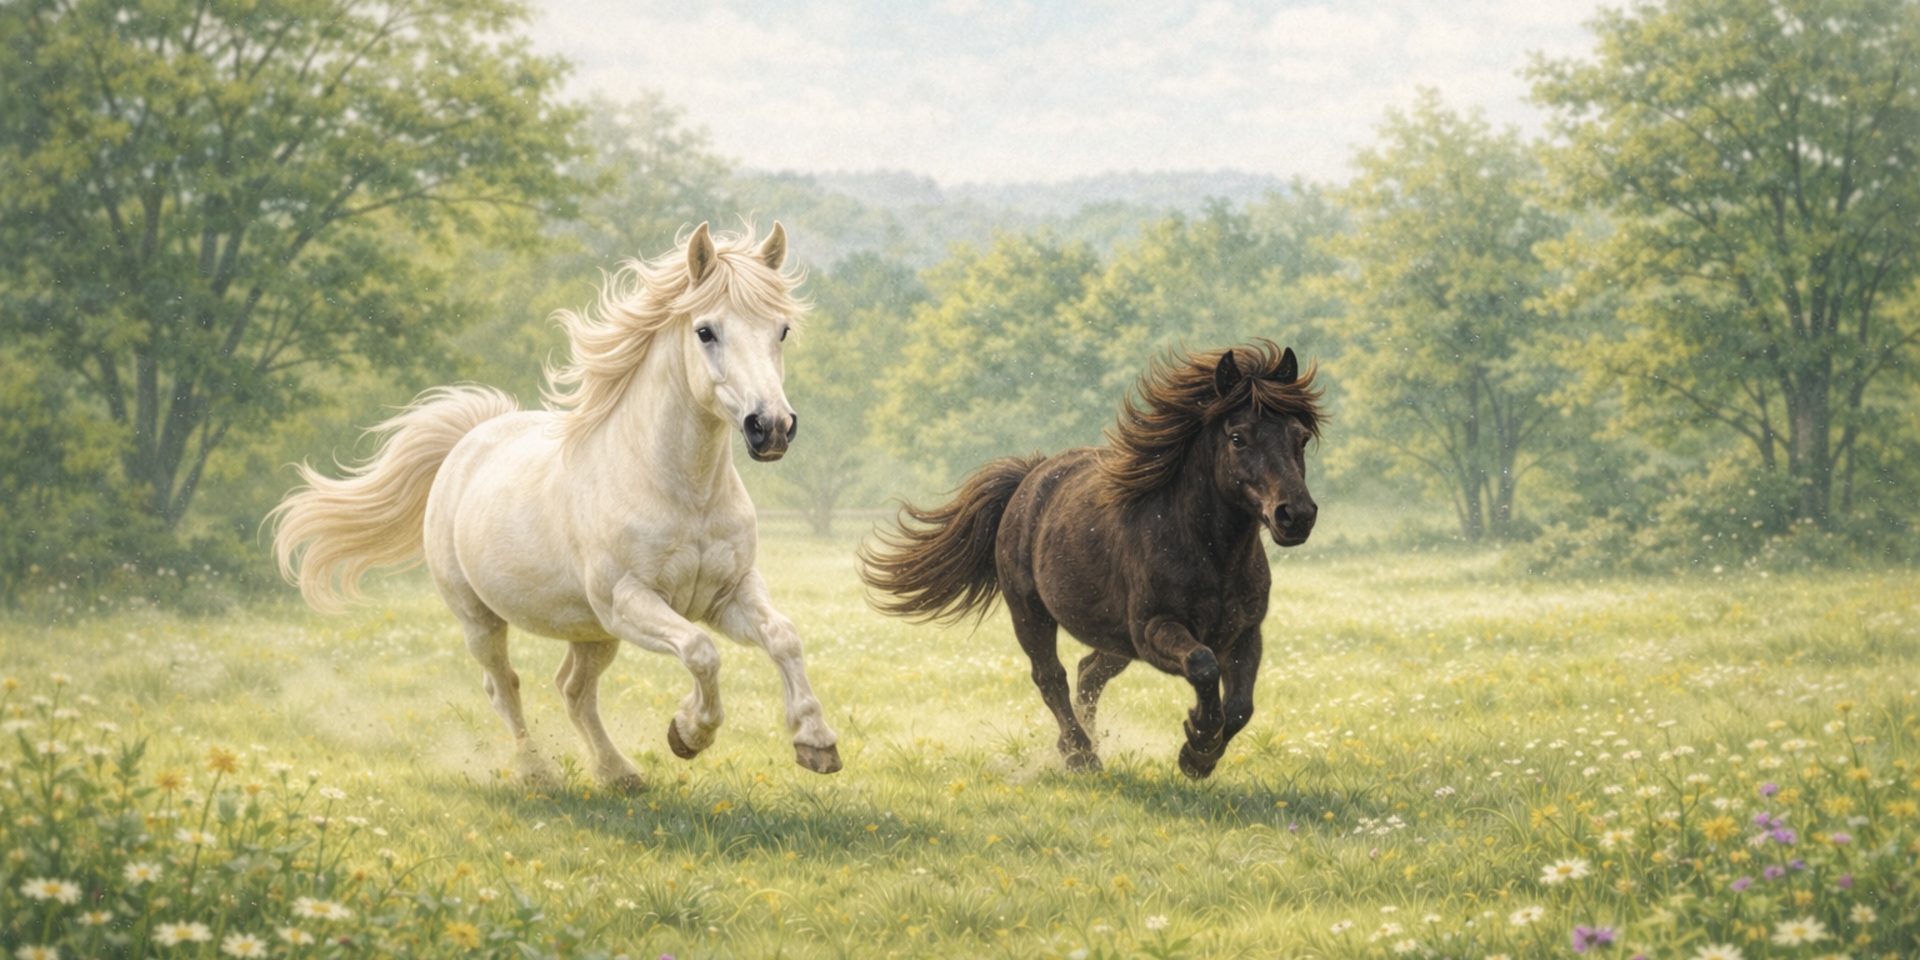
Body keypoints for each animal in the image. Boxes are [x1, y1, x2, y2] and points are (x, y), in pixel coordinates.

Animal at [270, 222, 842, 790]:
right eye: (705, 331)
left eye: (781, 330)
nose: (771, 427)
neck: (682, 491)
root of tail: (468, 441)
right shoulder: (628, 601)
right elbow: (702, 651)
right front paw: (688, 732)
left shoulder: (729, 592)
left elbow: (783, 637)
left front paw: (815, 742)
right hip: (482, 619)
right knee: (504, 687)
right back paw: (537, 773)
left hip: (590, 632)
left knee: (573, 689)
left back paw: (618, 773)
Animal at [859, 340, 1321, 779]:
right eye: (1238, 437)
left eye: (1300, 437)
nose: (1296, 515)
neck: (1211, 555)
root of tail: (1030, 479)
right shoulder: (1155, 630)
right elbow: (1202, 666)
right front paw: (1198, 743)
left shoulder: (1244, 634)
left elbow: (1241, 705)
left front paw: (1200, 757)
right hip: (1030, 613)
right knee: (1052, 677)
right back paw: (1081, 755)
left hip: (1112, 636)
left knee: (1088, 673)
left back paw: (1084, 743)